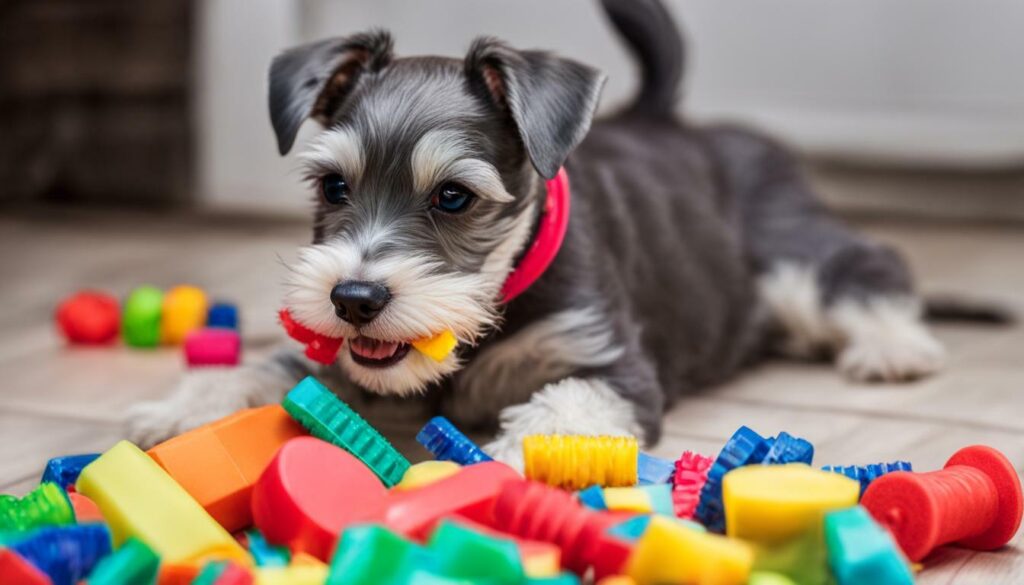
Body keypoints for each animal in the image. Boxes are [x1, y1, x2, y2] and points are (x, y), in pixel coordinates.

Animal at [125, 0, 942, 467]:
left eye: (454, 197)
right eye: (333, 186)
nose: (353, 298)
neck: (498, 298)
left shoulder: (608, 366)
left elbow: (560, 407)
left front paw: (514, 467)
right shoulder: (331, 357)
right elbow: (261, 368)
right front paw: (178, 408)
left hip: (790, 255)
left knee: (861, 266)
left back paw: (891, 347)